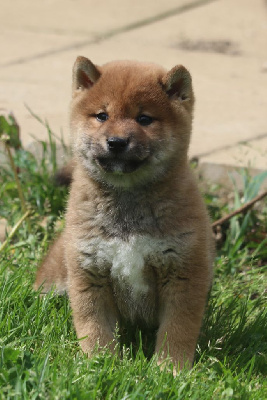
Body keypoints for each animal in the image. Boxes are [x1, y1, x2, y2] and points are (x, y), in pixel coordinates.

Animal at [35, 56, 216, 368]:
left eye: (144, 119)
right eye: (102, 116)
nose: (117, 142)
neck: (128, 205)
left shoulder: (183, 273)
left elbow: (177, 329)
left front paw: (170, 369)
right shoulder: (89, 273)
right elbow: (94, 328)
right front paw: (99, 364)